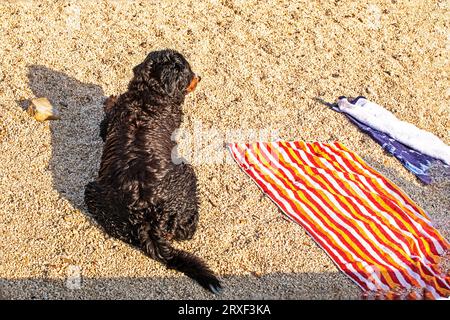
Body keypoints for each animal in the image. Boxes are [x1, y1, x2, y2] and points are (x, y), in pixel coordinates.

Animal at [84, 49, 221, 292]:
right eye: (188, 72)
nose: (200, 77)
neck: (147, 97)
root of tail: (148, 218)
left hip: (94, 192)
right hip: (187, 173)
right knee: (187, 230)